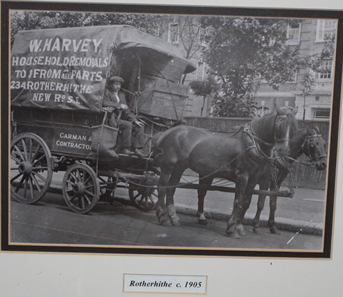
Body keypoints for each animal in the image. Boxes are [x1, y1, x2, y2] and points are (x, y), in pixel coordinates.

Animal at [153, 105, 298, 237]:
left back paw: (174, 218)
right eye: (280, 125)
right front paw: (232, 229)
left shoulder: (254, 178)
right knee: (162, 188)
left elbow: (246, 202)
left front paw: (239, 227)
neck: (252, 144)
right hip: (168, 166)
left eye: (293, 128)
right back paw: (163, 218)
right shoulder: (242, 176)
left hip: (179, 167)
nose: (284, 151)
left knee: (171, 189)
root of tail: (166, 132)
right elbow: (238, 202)